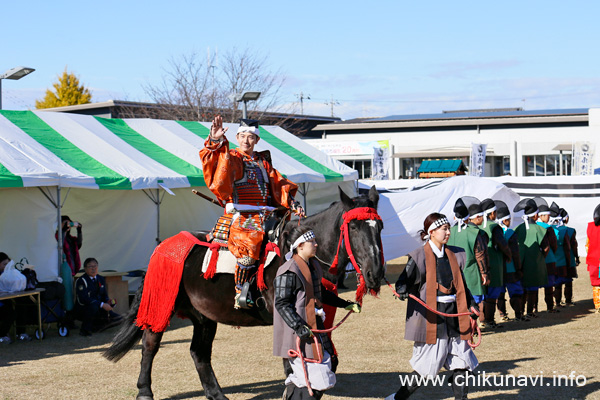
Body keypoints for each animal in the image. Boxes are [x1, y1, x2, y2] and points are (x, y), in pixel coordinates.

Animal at [103, 186, 384, 398]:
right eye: (354, 227)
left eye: (379, 227)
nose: (375, 273)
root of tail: (164, 246)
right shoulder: (288, 318)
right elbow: (292, 363)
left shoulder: (317, 319)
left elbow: (327, 359)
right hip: (162, 304)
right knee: (150, 345)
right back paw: (144, 391)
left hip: (203, 316)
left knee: (199, 353)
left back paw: (216, 394)